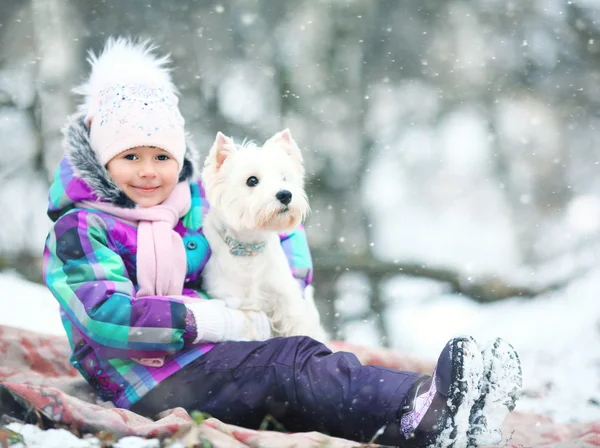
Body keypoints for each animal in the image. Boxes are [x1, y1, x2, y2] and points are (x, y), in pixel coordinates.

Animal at [200, 128, 324, 342]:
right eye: (252, 180)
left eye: (284, 178)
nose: (285, 195)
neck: (249, 247)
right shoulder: (235, 301)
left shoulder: (285, 297)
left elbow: (299, 326)